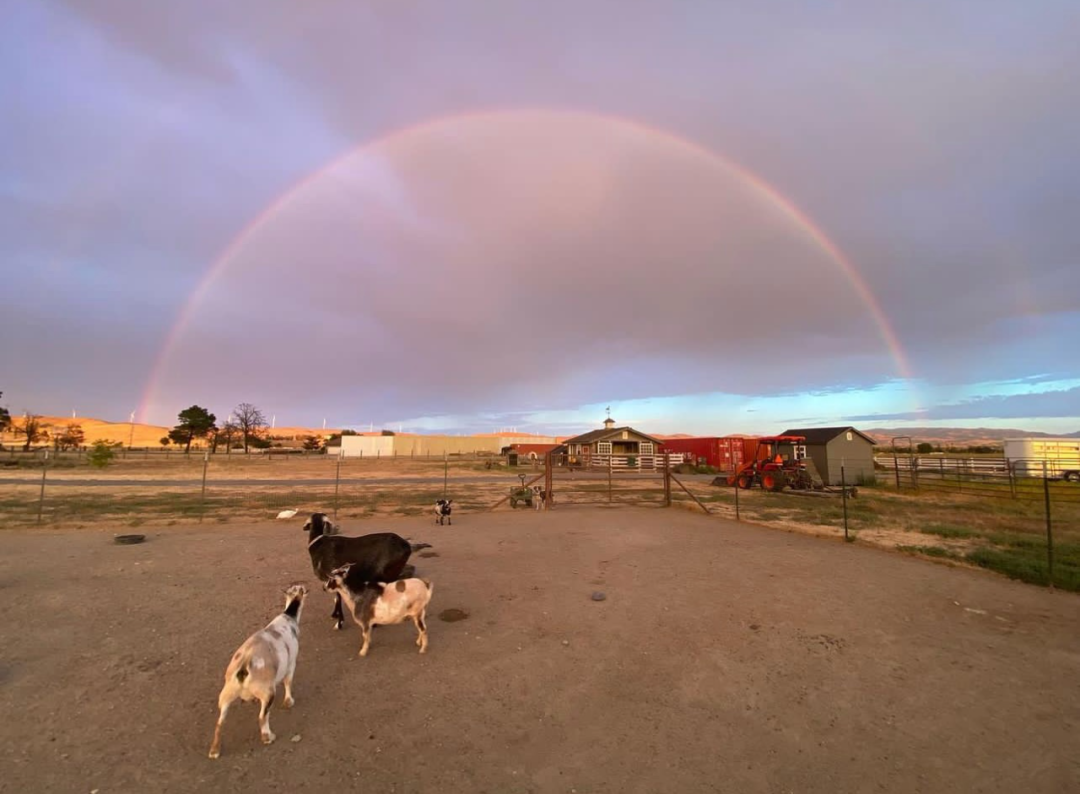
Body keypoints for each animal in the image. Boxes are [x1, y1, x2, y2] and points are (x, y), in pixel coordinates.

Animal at [208, 583, 306, 756]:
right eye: (300, 588)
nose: (304, 587)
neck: (289, 615)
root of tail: (243, 667)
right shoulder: (291, 662)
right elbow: (288, 682)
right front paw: (289, 702)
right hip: (268, 692)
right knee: (262, 717)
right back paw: (268, 737)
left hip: (227, 693)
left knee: (220, 721)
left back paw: (214, 751)